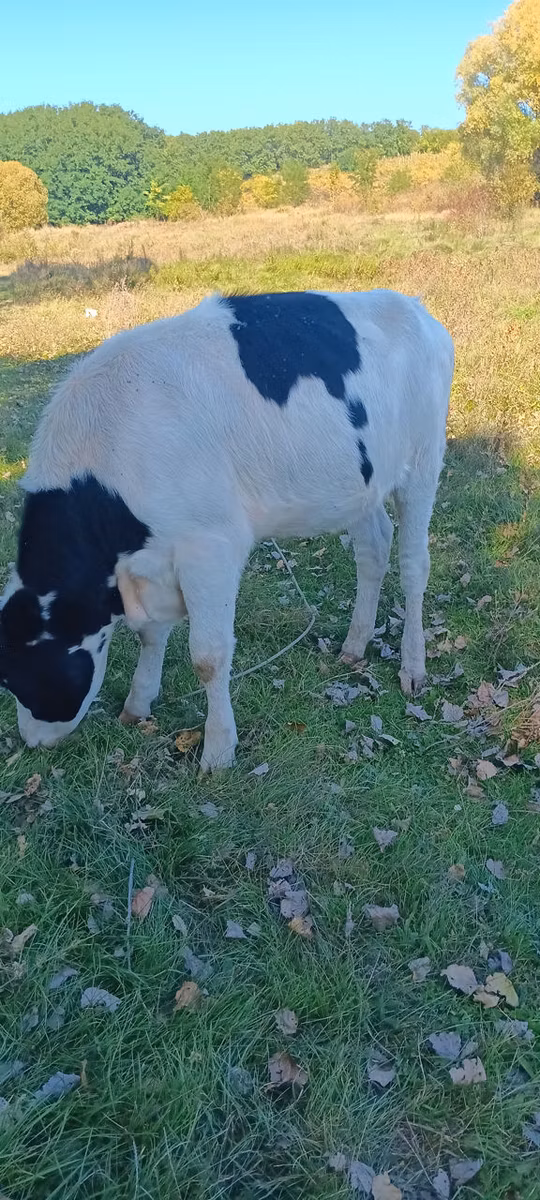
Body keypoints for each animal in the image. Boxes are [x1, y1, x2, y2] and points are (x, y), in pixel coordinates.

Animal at [0, 289, 454, 772]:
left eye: (19, 675)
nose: (31, 741)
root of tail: (414, 306)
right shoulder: (156, 559)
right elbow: (150, 634)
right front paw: (138, 704)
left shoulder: (210, 547)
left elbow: (208, 656)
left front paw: (218, 750)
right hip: (359, 485)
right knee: (373, 549)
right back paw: (354, 644)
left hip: (423, 461)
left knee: (413, 565)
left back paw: (413, 666)